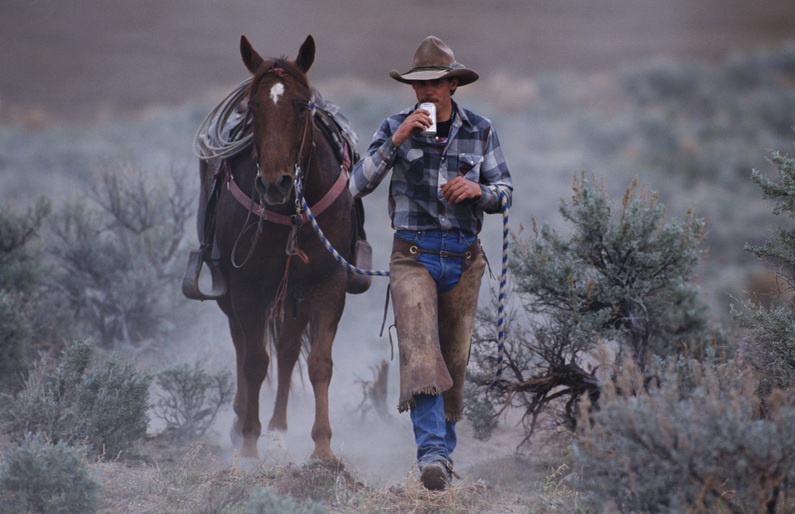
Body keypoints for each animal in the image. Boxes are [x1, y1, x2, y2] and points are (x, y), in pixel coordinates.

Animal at [196, 36, 360, 460]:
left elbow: (318, 362)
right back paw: (242, 421)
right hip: (233, 295)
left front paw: (322, 448)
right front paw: (250, 445)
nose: (275, 183)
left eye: (301, 105)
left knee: (286, 349)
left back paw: (279, 425)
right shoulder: (246, 286)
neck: (290, 212)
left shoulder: (328, 282)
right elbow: (254, 362)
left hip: (294, 295)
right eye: (253, 107)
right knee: (242, 345)